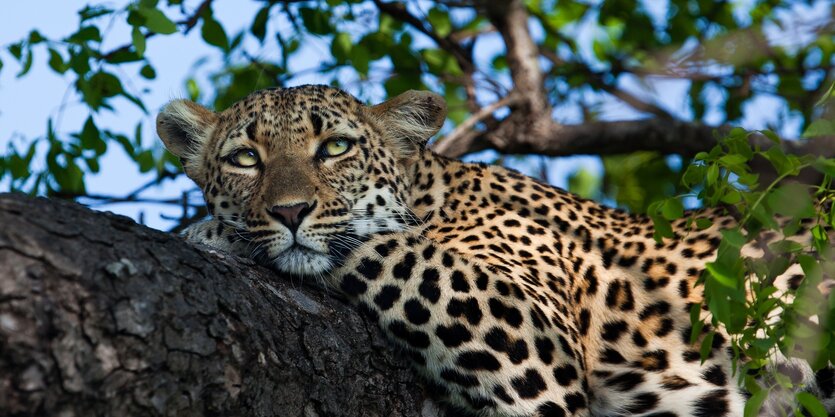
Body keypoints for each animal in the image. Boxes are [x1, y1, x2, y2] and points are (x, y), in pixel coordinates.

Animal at [157, 85, 835, 416]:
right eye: (245, 158)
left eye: (335, 149)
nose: (289, 212)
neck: (435, 195)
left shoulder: (532, 342)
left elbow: (383, 245)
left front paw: (210, 233)